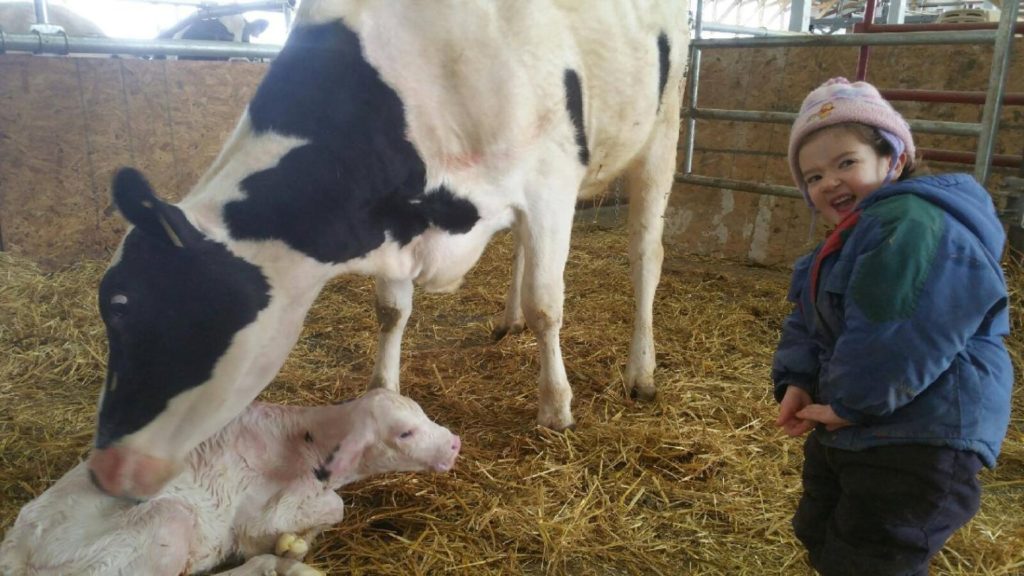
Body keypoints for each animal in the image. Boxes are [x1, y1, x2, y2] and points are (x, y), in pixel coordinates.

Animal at [1, 387, 460, 569]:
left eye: (422, 414)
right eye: (404, 433)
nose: (455, 443)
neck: (301, 441)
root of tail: (14, 547)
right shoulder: (261, 513)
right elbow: (335, 507)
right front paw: (291, 543)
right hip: (161, 525)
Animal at [86, 1, 688, 498]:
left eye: (122, 307)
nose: (106, 471)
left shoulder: (550, 183)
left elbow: (548, 305)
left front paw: (556, 407)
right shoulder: (392, 220)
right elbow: (391, 311)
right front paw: (382, 390)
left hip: (663, 126)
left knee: (645, 254)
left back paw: (640, 371)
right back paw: (507, 318)